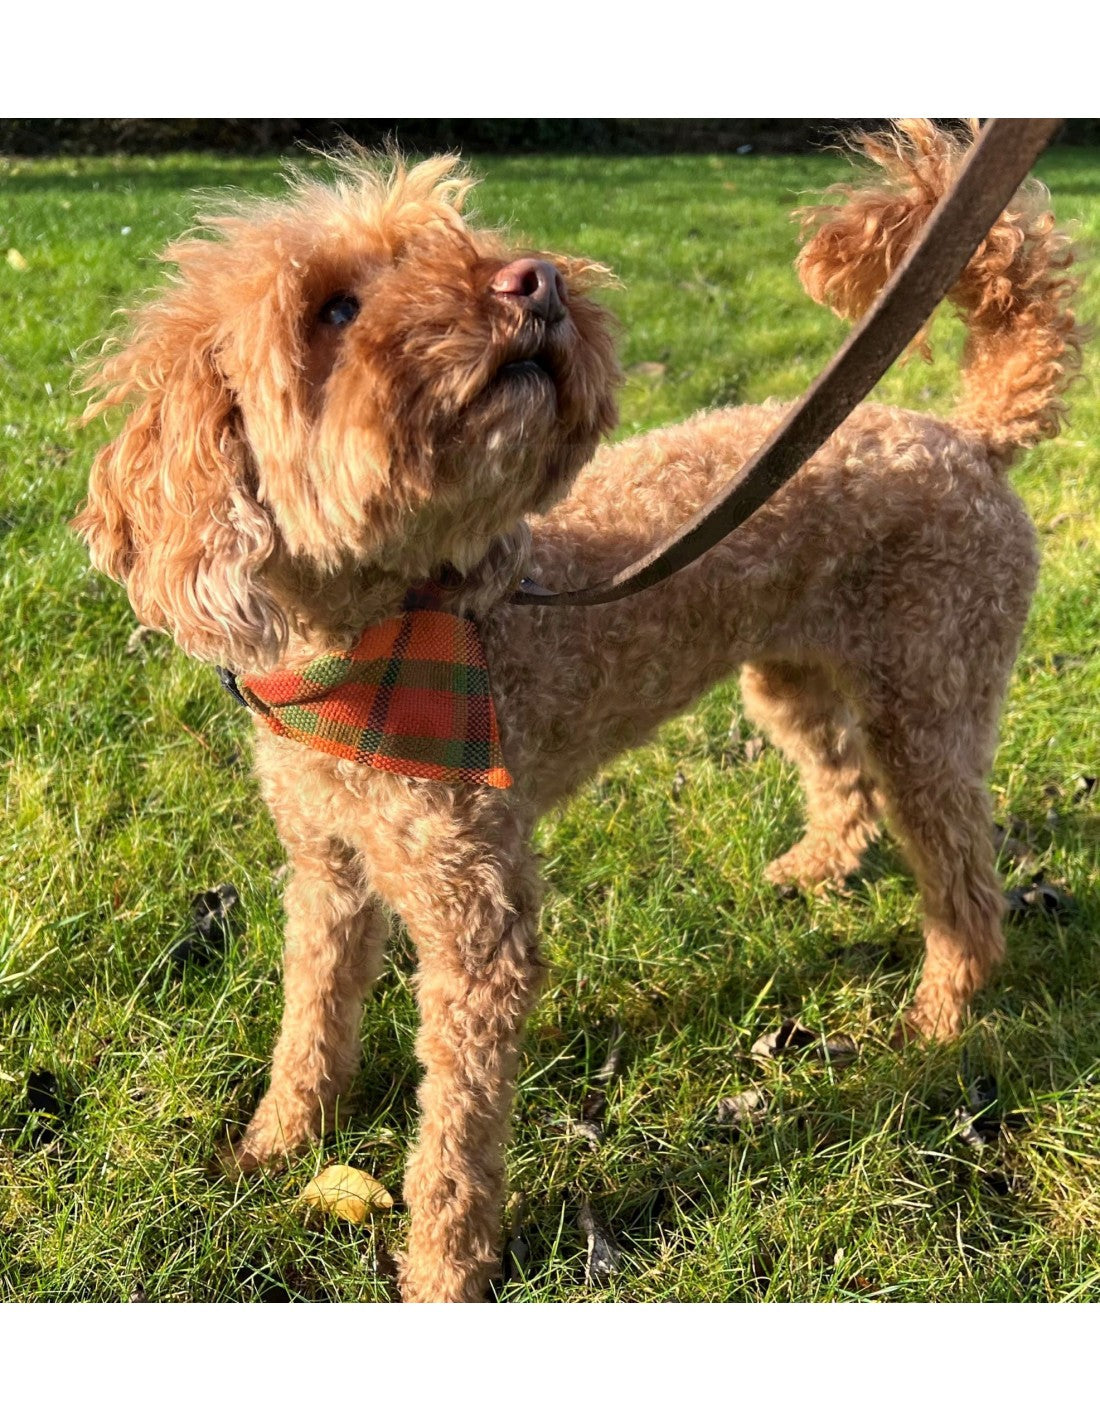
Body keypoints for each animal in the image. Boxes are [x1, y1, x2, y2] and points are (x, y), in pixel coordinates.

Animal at [77, 122, 1085, 1302]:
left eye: (452, 242)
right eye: (331, 308)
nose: (536, 280)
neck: (367, 642)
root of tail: (964, 435)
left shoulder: (475, 920)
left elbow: (453, 1133)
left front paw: (443, 1269)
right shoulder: (328, 868)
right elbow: (309, 1022)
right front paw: (277, 1142)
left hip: (929, 698)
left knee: (965, 881)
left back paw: (938, 1017)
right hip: (787, 669)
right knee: (840, 777)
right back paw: (815, 869)